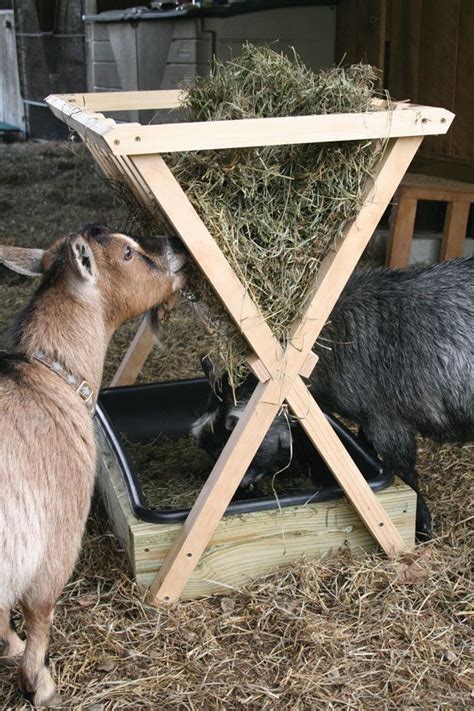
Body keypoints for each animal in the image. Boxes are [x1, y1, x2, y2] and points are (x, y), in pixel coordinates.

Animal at [0, 227, 185, 708]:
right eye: (128, 252)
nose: (176, 247)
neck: (46, 377)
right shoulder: (56, 537)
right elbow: (38, 612)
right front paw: (38, 680)